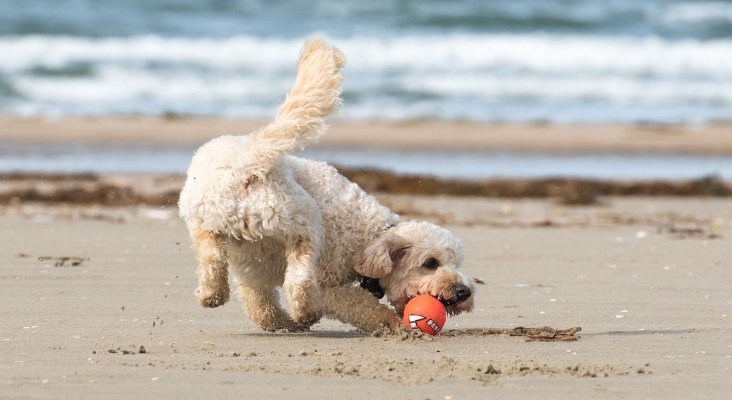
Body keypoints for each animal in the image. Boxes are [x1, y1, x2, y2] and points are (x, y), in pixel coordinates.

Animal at [178, 38, 474, 332]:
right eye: (430, 263)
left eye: (456, 262)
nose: (464, 292)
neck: (369, 237)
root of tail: (248, 160)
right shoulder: (329, 284)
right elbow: (364, 307)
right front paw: (394, 324)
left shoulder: (252, 271)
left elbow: (260, 305)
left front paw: (280, 323)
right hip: (303, 221)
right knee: (299, 275)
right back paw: (303, 311)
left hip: (210, 221)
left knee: (216, 258)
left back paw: (215, 295)